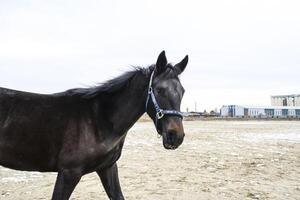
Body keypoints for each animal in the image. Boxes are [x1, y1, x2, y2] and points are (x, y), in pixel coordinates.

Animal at [0, 51, 188, 198]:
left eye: (182, 91)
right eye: (159, 90)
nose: (175, 136)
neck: (100, 119)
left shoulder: (107, 168)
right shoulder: (69, 173)